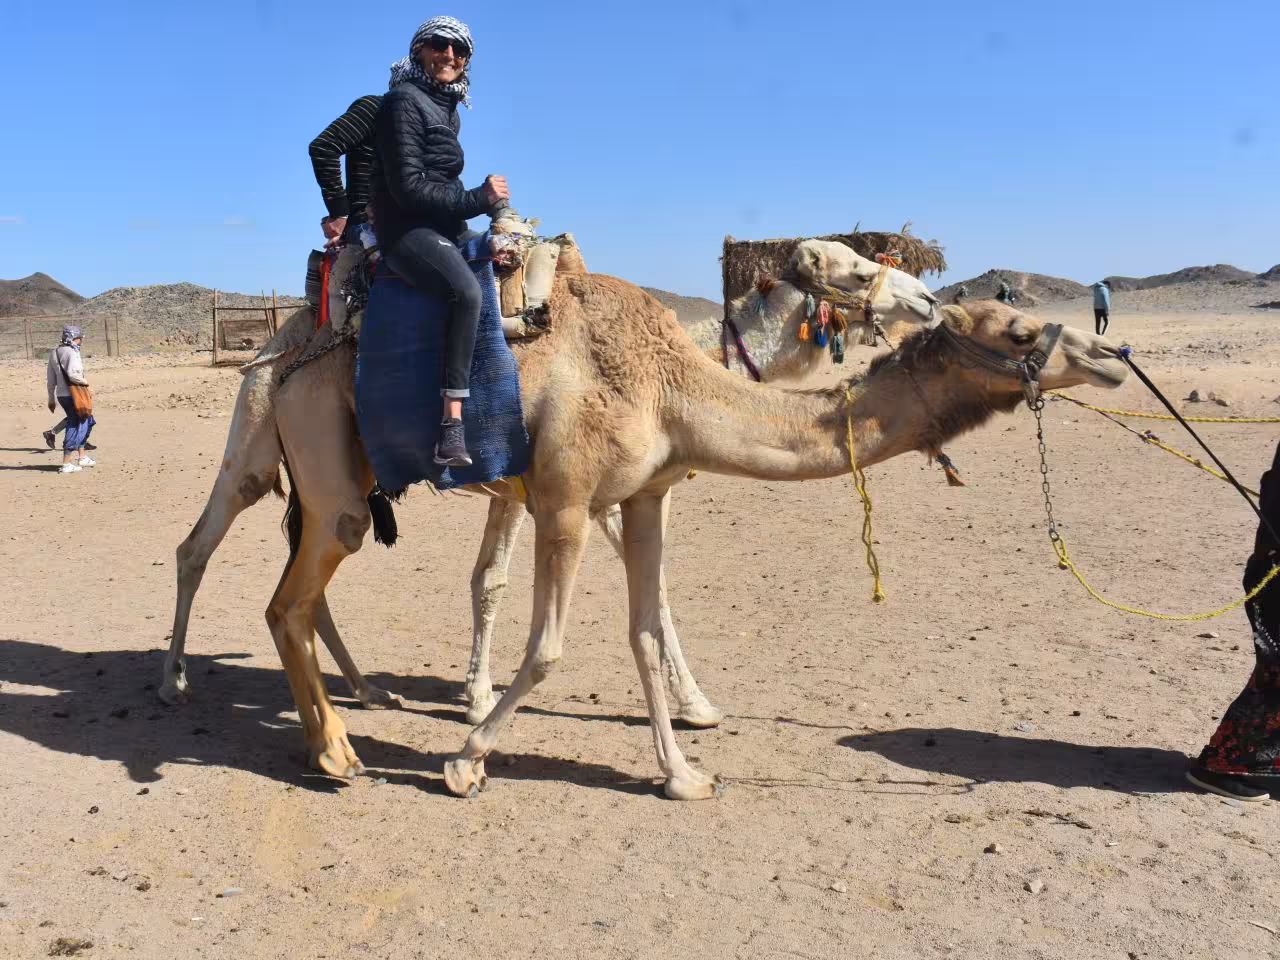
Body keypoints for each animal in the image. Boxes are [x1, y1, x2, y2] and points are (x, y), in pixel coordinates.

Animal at [161, 238, 939, 731]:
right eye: (853, 269)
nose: (929, 301)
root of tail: (278, 340)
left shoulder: (526, 490)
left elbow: (500, 580)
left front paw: (477, 693)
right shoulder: (571, 490)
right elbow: (591, 584)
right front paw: (693, 703)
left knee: (308, 567)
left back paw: (364, 688)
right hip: (256, 431)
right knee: (198, 544)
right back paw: (174, 681)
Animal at [262, 270, 1126, 799]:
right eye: (1020, 333)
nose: (1113, 356)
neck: (671, 384)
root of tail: (289, 359)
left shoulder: (643, 495)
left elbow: (644, 630)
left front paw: (682, 772)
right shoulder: (565, 500)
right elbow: (548, 648)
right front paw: (466, 760)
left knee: (297, 592)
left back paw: (338, 727)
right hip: (326, 456)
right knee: (285, 600)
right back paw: (337, 751)